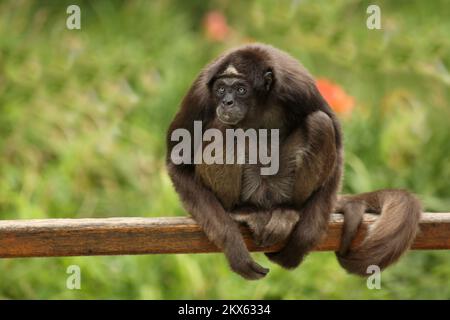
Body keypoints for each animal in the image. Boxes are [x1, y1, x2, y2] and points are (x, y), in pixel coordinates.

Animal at [165, 43, 422, 280]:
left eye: (240, 89)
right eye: (220, 90)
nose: (226, 102)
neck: (259, 105)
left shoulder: (298, 85)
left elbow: (338, 146)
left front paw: (302, 240)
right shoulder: (201, 91)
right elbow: (177, 162)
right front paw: (233, 246)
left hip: (282, 186)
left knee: (320, 122)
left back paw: (290, 211)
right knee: (223, 128)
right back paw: (240, 210)